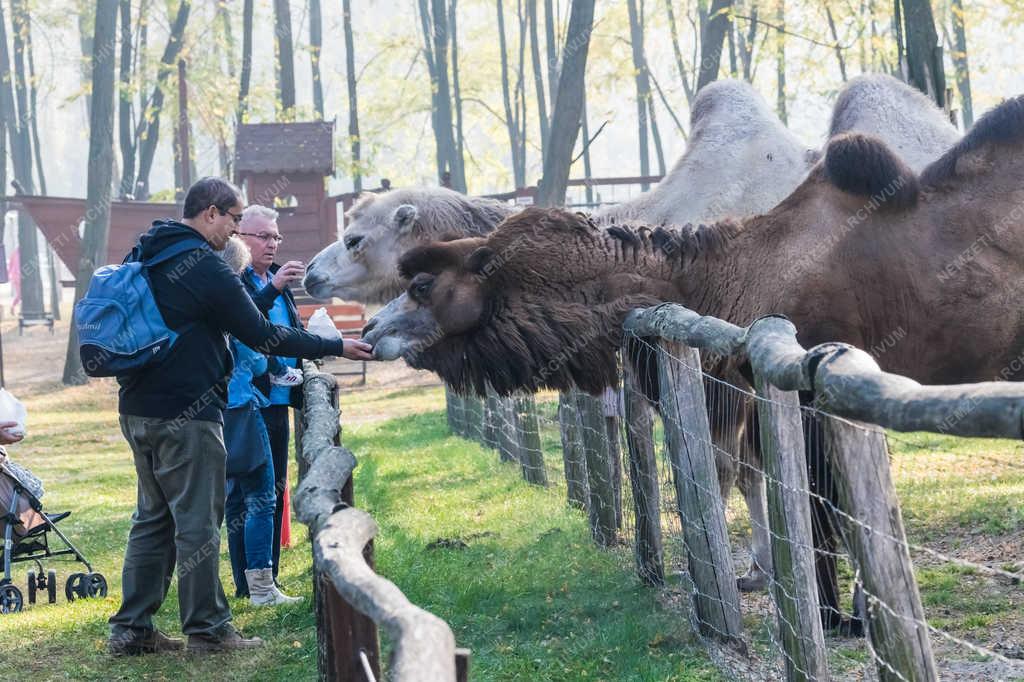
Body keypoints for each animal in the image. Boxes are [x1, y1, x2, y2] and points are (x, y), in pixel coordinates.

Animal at [366, 93, 1024, 630]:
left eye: (422, 284)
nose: (371, 330)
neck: (729, 275)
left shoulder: (814, 390)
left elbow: (825, 509)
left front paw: (840, 618)